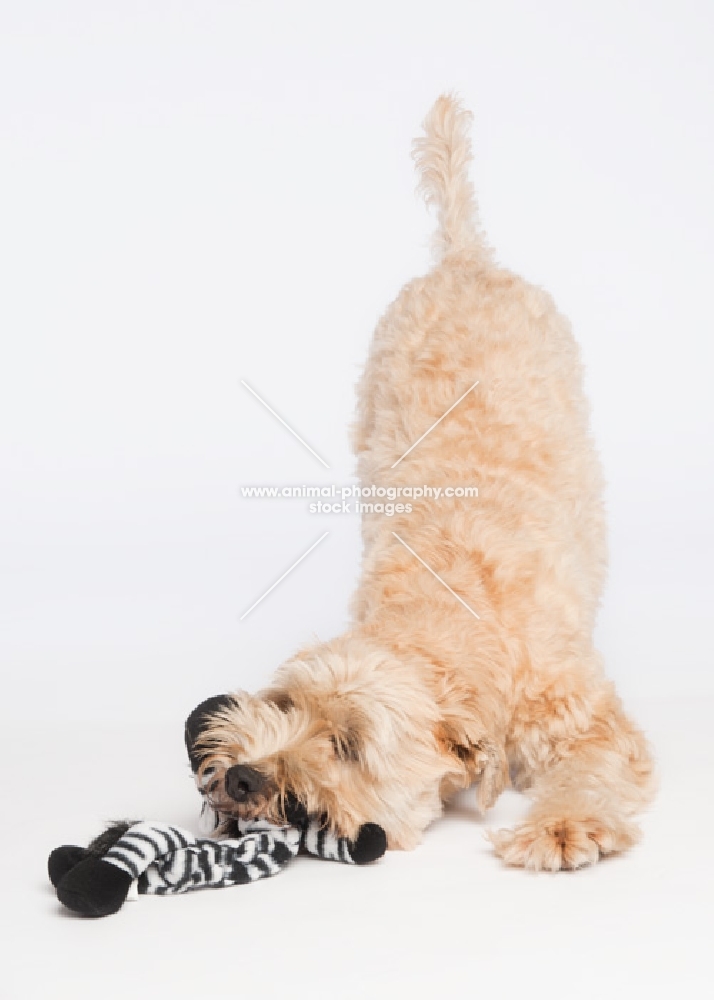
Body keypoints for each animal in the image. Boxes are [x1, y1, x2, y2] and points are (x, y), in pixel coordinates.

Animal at [195, 97, 652, 872]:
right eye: (285, 704)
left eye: (347, 745)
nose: (243, 776)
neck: (452, 611)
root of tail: (465, 258)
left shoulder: (589, 719)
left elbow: (595, 766)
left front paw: (562, 824)